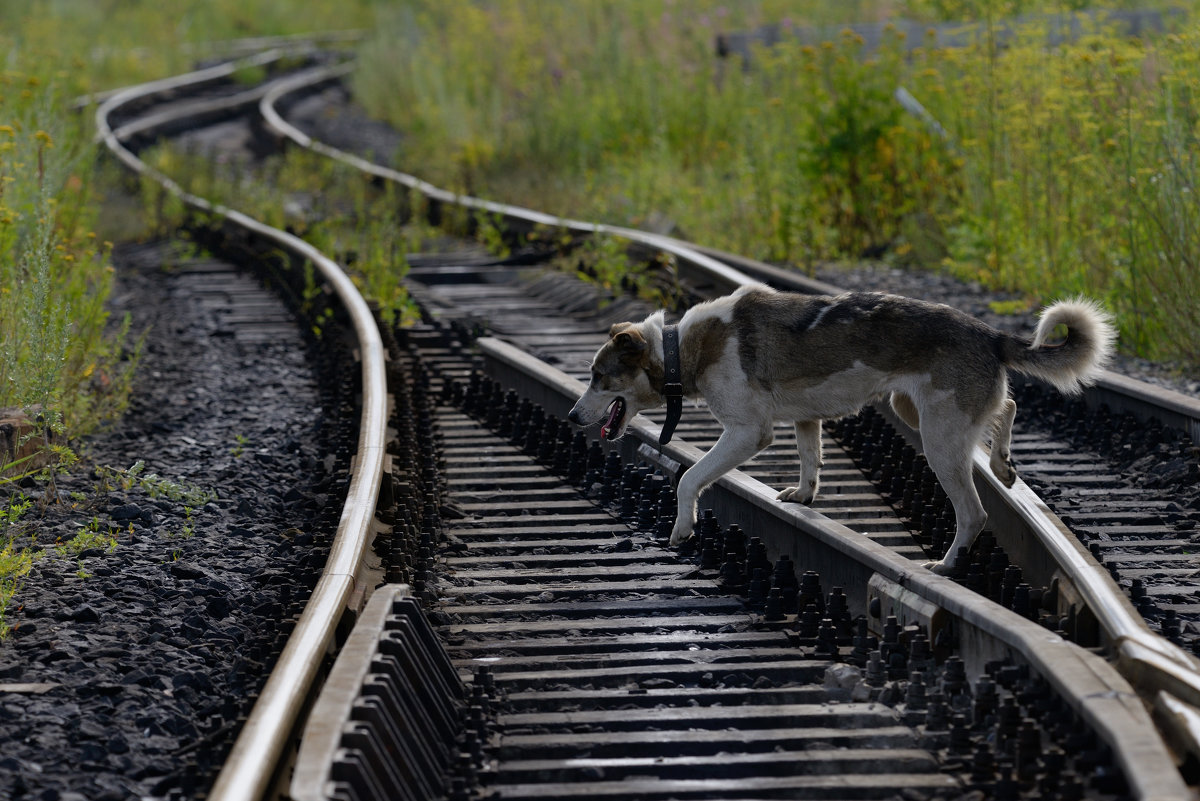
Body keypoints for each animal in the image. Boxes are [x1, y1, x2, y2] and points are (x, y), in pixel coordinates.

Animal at [571, 284, 1113, 573]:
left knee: (975, 514)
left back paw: (947, 564)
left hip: (938, 438)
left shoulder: (748, 433)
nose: (574, 417)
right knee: (1010, 405)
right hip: (917, 412)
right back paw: (1002, 464)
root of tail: (990, 334)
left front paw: (682, 528)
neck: (684, 348)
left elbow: (688, 478)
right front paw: (803, 496)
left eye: (598, 377)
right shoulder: (805, 419)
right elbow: (811, 460)